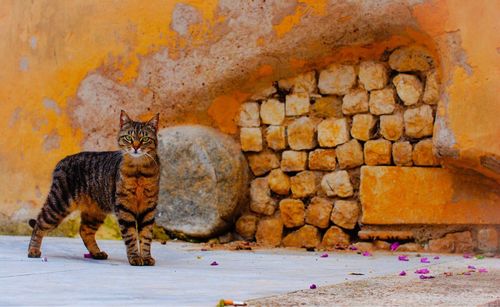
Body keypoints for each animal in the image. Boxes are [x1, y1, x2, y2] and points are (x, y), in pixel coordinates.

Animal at [27, 111, 160, 268]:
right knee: (39, 223)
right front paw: (135, 257)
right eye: (129, 137)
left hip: (95, 212)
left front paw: (146, 257)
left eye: (145, 139)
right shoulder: (124, 208)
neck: (139, 171)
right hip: (58, 204)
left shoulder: (148, 209)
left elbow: (146, 236)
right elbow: (131, 236)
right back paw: (33, 250)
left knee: (84, 230)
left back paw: (97, 253)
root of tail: (62, 160)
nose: (136, 147)